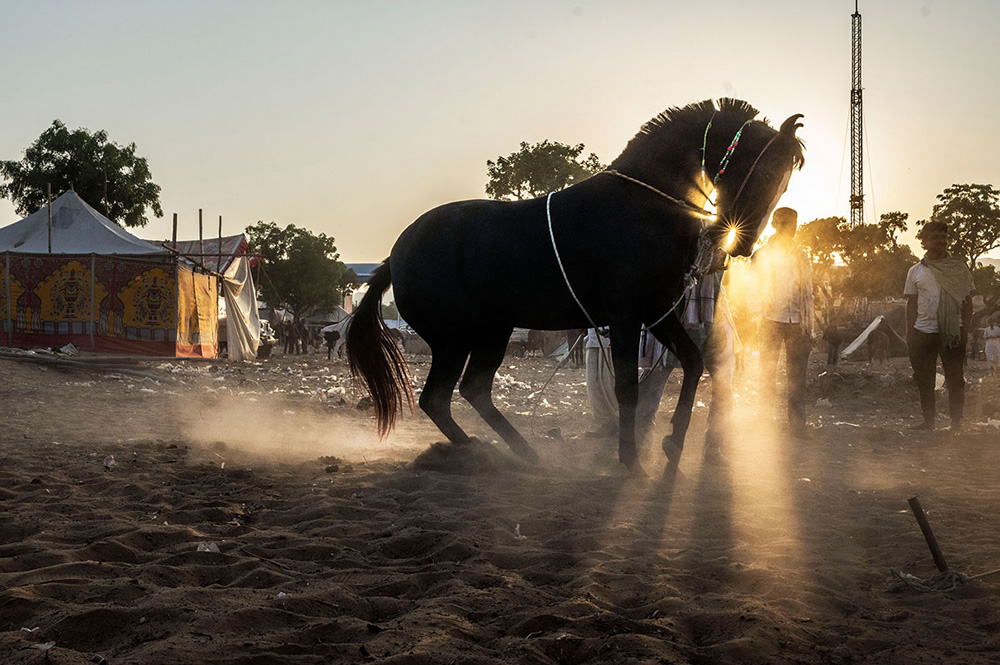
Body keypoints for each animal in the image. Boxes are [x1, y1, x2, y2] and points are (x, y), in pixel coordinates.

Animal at [348, 97, 800, 472]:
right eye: (765, 173)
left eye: (784, 182)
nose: (741, 244)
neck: (645, 203)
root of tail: (397, 256)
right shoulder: (625, 317)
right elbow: (627, 387)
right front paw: (629, 460)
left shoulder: (657, 313)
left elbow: (692, 362)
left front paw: (672, 440)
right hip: (455, 338)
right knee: (438, 398)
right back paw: (480, 452)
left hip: (492, 331)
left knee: (473, 390)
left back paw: (522, 453)